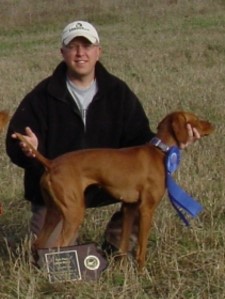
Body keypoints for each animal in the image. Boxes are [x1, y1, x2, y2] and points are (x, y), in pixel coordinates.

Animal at [15, 111, 213, 270]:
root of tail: (51, 163)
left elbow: (123, 244)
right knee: (57, 246)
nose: (212, 124)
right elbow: (142, 247)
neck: (160, 151)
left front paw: (121, 269)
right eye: (195, 119)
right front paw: (142, 272)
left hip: (54, 212)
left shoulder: (129, 208)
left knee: (38, 243)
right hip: (73, 213)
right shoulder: (146, 209)